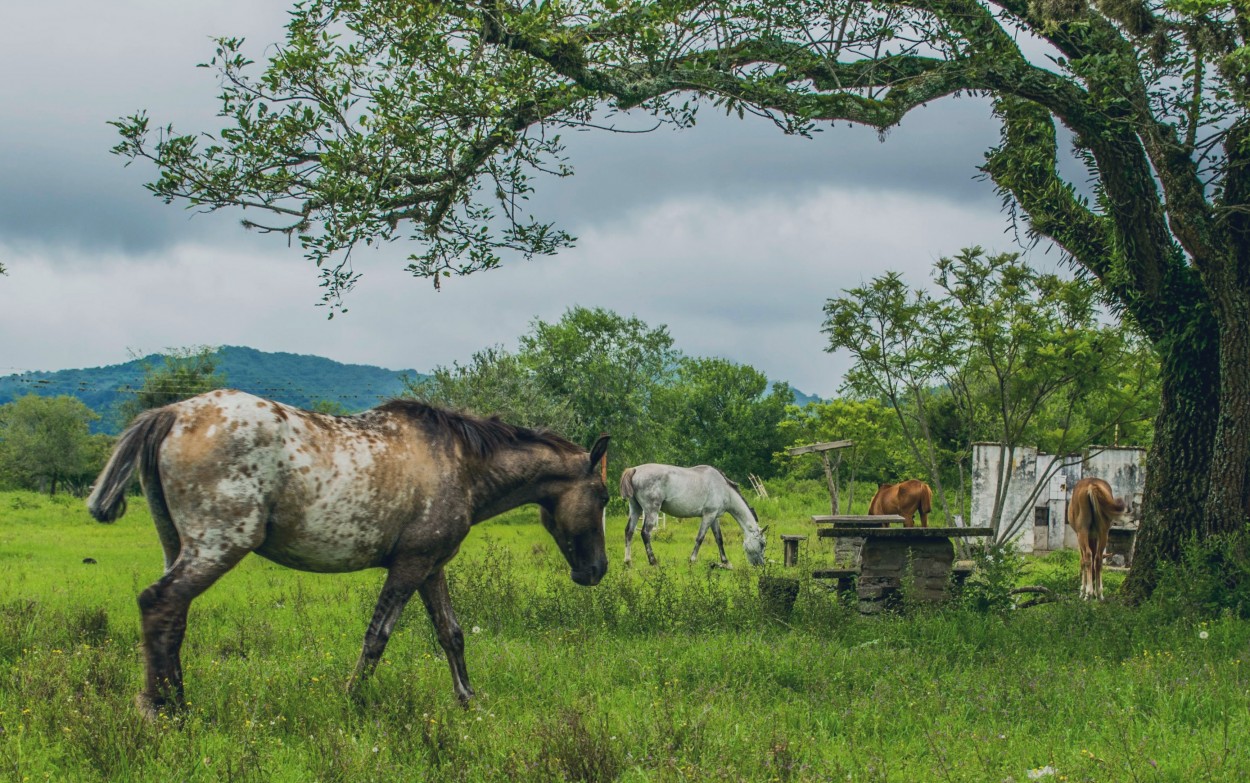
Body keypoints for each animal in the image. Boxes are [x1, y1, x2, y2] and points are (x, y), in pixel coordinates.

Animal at [89, 387, 610, 715]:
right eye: (604, 496)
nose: (597, 570)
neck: (461, 463)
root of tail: (173, 414)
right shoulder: (409, 567)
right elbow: (377, 637)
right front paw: (351, 698)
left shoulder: (430, 567)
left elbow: (452, 634)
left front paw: (467, 697)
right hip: (218, 545)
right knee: (160, 603)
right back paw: (166, 709)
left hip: (181, 547)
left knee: (172, 616)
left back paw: (169, 699)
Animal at [620, 462, 765, 567]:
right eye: (762, 544)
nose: (761, 565)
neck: (723, 488)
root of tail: (635, 470)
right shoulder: (708, 516)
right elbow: (700, 538)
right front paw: (692, 560)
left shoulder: (714, 518)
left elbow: (719, 539)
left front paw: (725, 562)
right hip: (651, 511)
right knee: (645, 533)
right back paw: (653, 561)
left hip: (636, 509)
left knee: (629, 531)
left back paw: (628, 561)